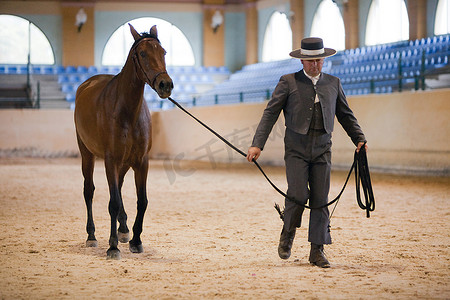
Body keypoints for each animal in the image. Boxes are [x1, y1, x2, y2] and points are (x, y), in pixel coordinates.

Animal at [74, 24, 172, 258]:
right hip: (87, 154)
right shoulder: (110, 160)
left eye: (163, 52)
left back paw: (124, 229)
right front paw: (112, 246)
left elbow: (142, 201)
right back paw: (92, 236)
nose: (166, 85)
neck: (127, 111)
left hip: (125, 163)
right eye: (142, 53)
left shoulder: (142, 162)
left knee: (118, 186)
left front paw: (136, 240)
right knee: (89, 190)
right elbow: (113, 202)